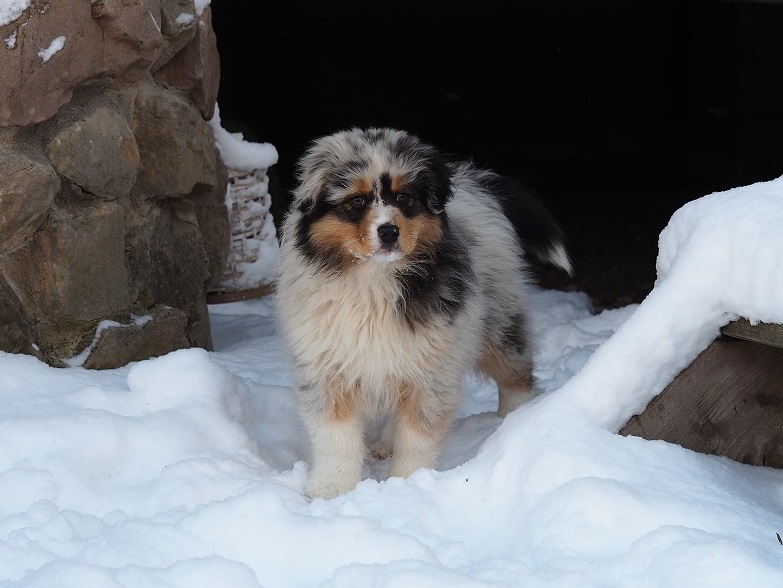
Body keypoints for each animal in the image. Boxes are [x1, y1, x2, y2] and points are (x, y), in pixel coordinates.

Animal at [278, 127, 572, 496]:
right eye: (356, 201)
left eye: (405, 198)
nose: (389, 231)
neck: (374, 280)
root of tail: (474, 186)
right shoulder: (327, 368)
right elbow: (336, 438)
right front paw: (331, 490)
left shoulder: (433, 369)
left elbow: (419, 435)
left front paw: (407, 483)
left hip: (498, 320)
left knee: (516, 372)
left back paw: (517, 419)